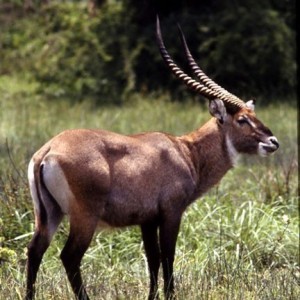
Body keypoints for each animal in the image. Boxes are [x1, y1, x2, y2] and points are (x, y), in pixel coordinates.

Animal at [25, 17, 278, 300]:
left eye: (253, 115)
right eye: (242, 119)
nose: (273, 142)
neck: (186, 151)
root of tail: (48, 150)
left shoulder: (147, 220)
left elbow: (152, 259)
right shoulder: (171, 213)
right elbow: (168, 255)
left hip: (49, 214)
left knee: (35, 251)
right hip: (83, 218)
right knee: (69, 256)